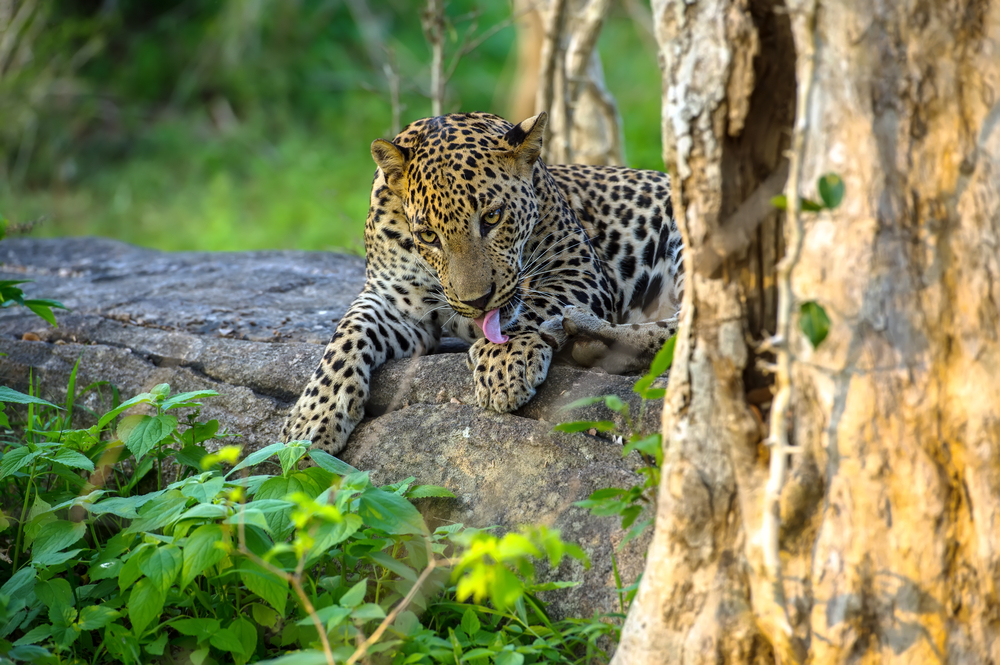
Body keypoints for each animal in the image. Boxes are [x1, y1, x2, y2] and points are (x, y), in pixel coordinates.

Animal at [282, 113, 688, 456]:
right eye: (428, 236)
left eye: (492, 217)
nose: (477, 301)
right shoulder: (394, 302)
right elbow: (347, 334)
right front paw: (311, 417)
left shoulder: (577, 267)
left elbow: (534, 308)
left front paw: (504, 361)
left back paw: (585, 333)